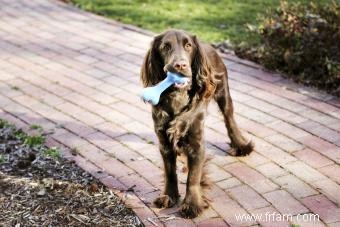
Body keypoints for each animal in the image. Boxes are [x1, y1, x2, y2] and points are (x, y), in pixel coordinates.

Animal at [139, 29, 254, 217]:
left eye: (188, 45)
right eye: (165, 46)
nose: (180, 65)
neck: (177, 96)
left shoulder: (197, 141)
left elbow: (193, 177)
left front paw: (192, 204)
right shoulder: (164, 142)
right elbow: (170, 172)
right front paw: (169, 197)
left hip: (223, 92)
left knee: (229, 119)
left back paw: (241, 145)